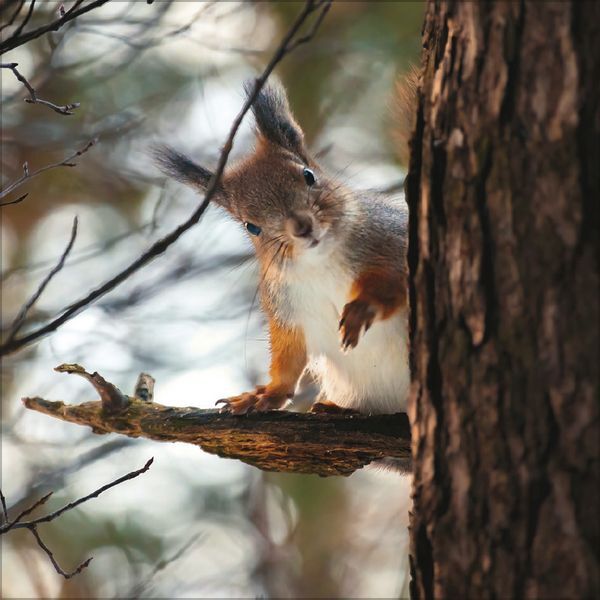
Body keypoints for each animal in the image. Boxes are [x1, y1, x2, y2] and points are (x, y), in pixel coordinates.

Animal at [155, 77, 418, 418]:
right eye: (251, 226)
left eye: (309, 175)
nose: (302, 227)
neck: (321, 264)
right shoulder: (287, 309)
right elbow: (288, 356)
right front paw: (264, 395)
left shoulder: (394, 240)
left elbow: (395, 282)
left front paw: (363, 308)